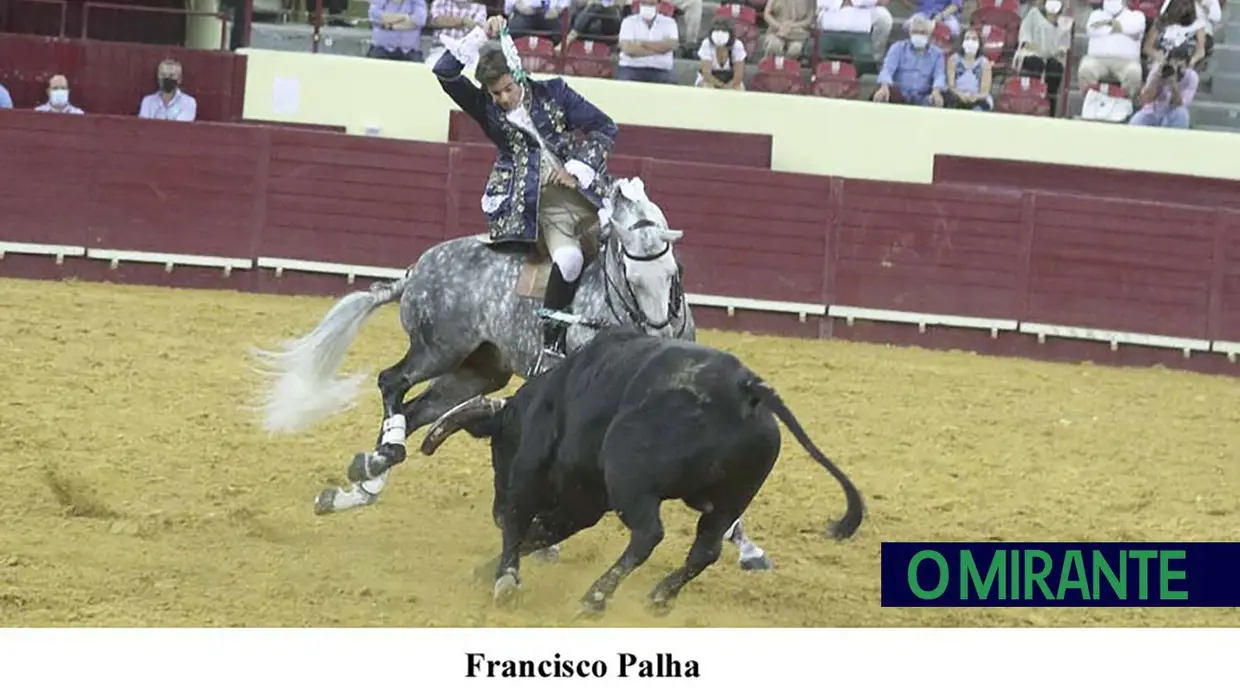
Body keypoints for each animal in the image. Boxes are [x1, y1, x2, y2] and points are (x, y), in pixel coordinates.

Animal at [249, 176, 773, 568]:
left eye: (672, 273)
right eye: (631, 271)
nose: (659, 333)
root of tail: (417, 269)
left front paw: (747, 547)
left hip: (480, 372)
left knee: (417, 411)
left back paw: (364, 480)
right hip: (438, 349)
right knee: (391, 382)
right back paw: (378, 464)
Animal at [416, 324, 863, 612]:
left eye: (498, 451)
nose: (491, 510)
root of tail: (745, 388)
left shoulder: (534, 476)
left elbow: (518, 523)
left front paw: (503, 580)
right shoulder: (583, 501)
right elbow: (541, 531)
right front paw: (484, 571)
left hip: (628, 477)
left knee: (649, 534)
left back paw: (596, 598)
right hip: (729, 501)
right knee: (705, 548)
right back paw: (660, 597)